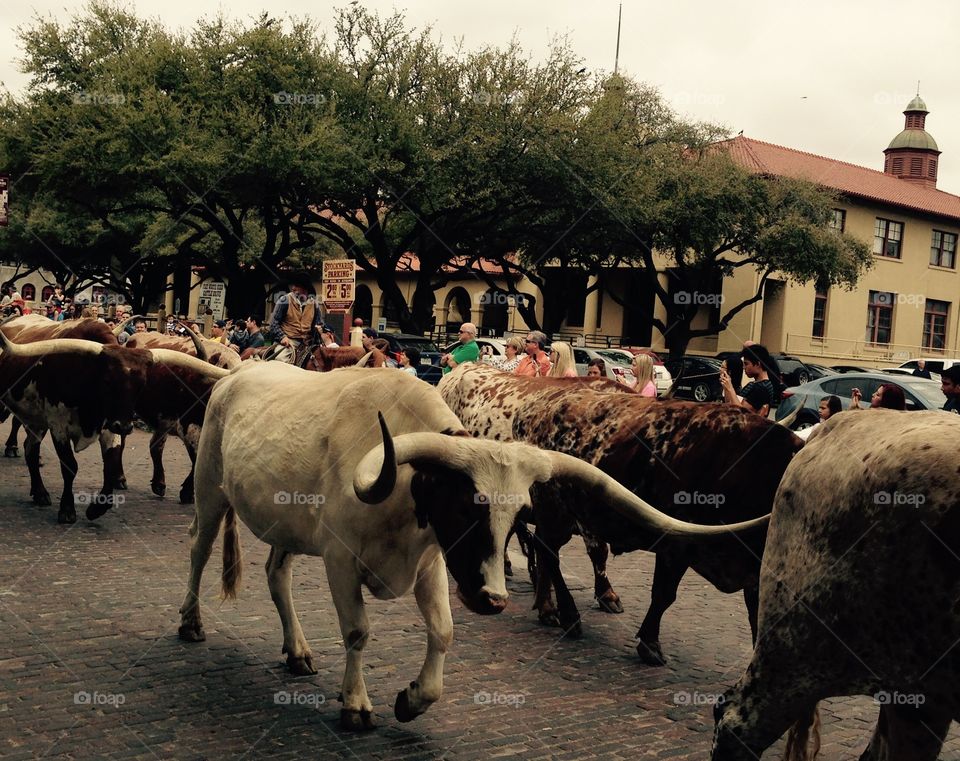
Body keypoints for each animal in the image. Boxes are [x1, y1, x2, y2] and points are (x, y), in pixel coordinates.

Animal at [0, 315, 225, 523]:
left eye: (142, 385)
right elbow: (70, 466)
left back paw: (39, 492)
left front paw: (97, 508)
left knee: (30, 449)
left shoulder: (110, 426)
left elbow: (111, 463)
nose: (125, 426)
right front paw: (67, 510)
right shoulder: (58, 425)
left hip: (36, 420)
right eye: (107, 381)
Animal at [439, 363, 803, 664]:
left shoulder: (758, 569)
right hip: (556, 510)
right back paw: (567, 614)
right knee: (548, 553)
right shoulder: (674, 545)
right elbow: (660, 592)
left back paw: (547, 606)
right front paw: (648, 642)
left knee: (542, 550)